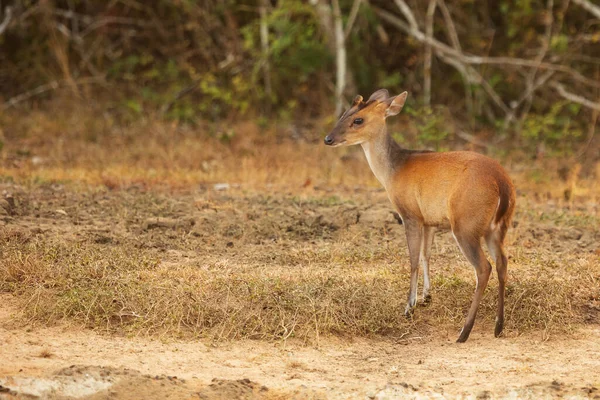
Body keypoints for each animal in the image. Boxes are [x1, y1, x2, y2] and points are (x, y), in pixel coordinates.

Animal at [324, 89, 516, 342]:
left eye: (358, 120)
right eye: (344, 113)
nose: (328, 139)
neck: (393, 170)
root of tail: (502, 183)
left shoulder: (410, 214)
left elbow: (413, 258)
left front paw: (409, 306)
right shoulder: (429, 220)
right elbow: (426, 255)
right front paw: (426, 296)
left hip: (466, 224)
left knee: (484, 268)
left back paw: (464, 332)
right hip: (497, 227)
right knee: (502, 262)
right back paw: (498, 326)